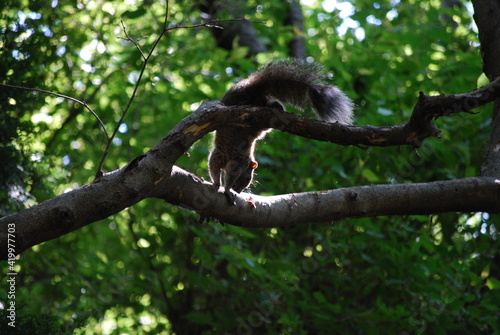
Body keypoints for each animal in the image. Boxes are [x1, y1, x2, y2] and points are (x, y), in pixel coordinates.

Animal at [209, 59, 354, 203]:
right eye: (247, 178)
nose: (239, 191)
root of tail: (250, 86)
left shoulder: (222, 156)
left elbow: (213, 167)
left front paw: (219, 184)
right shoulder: (233, 161)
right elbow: (219, 170)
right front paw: (224, 187)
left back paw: (276, 107)